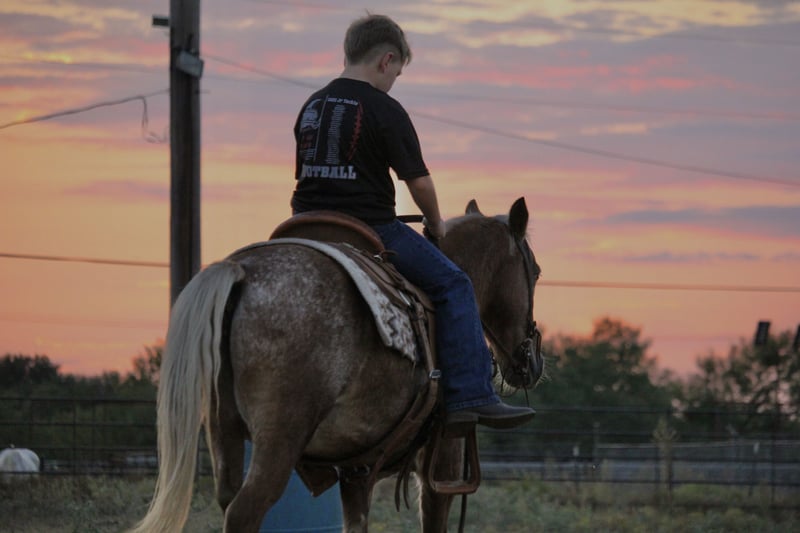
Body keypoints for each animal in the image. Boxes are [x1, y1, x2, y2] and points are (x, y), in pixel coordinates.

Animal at [129, 197, 543, 533]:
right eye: (535, 272)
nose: (533, 362)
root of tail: (241, 273)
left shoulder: (356, 469)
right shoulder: (442, 461)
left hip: (223, 430)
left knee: (228, 498)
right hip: (279, 438)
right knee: (245, 512)